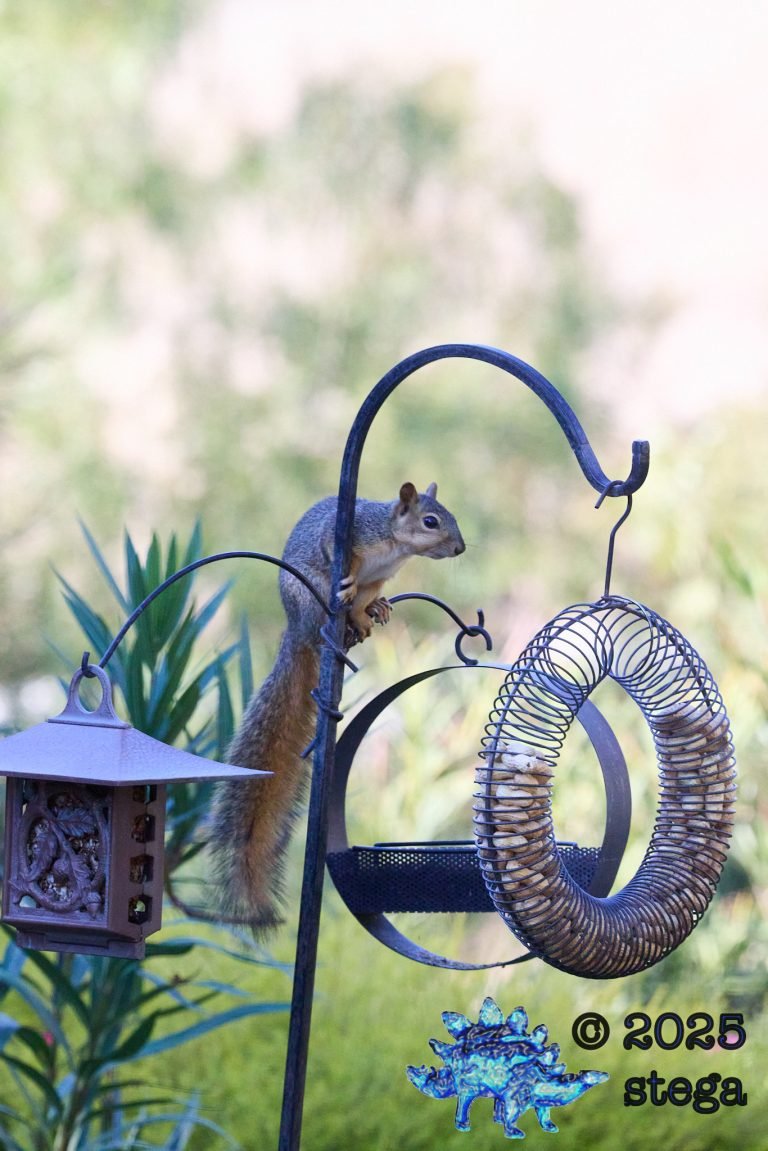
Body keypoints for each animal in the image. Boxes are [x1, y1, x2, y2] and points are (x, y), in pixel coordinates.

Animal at [210, 482, 465, 932]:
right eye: (431, 521)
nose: (459, 547)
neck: (395, 546)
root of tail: (294, 626)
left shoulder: (379, 578)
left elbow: (365, 596)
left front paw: (365, 612)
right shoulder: (352, 534)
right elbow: (336, 548)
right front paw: (346, 586)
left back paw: (371, 615)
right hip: (308, 599)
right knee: (319, 627)